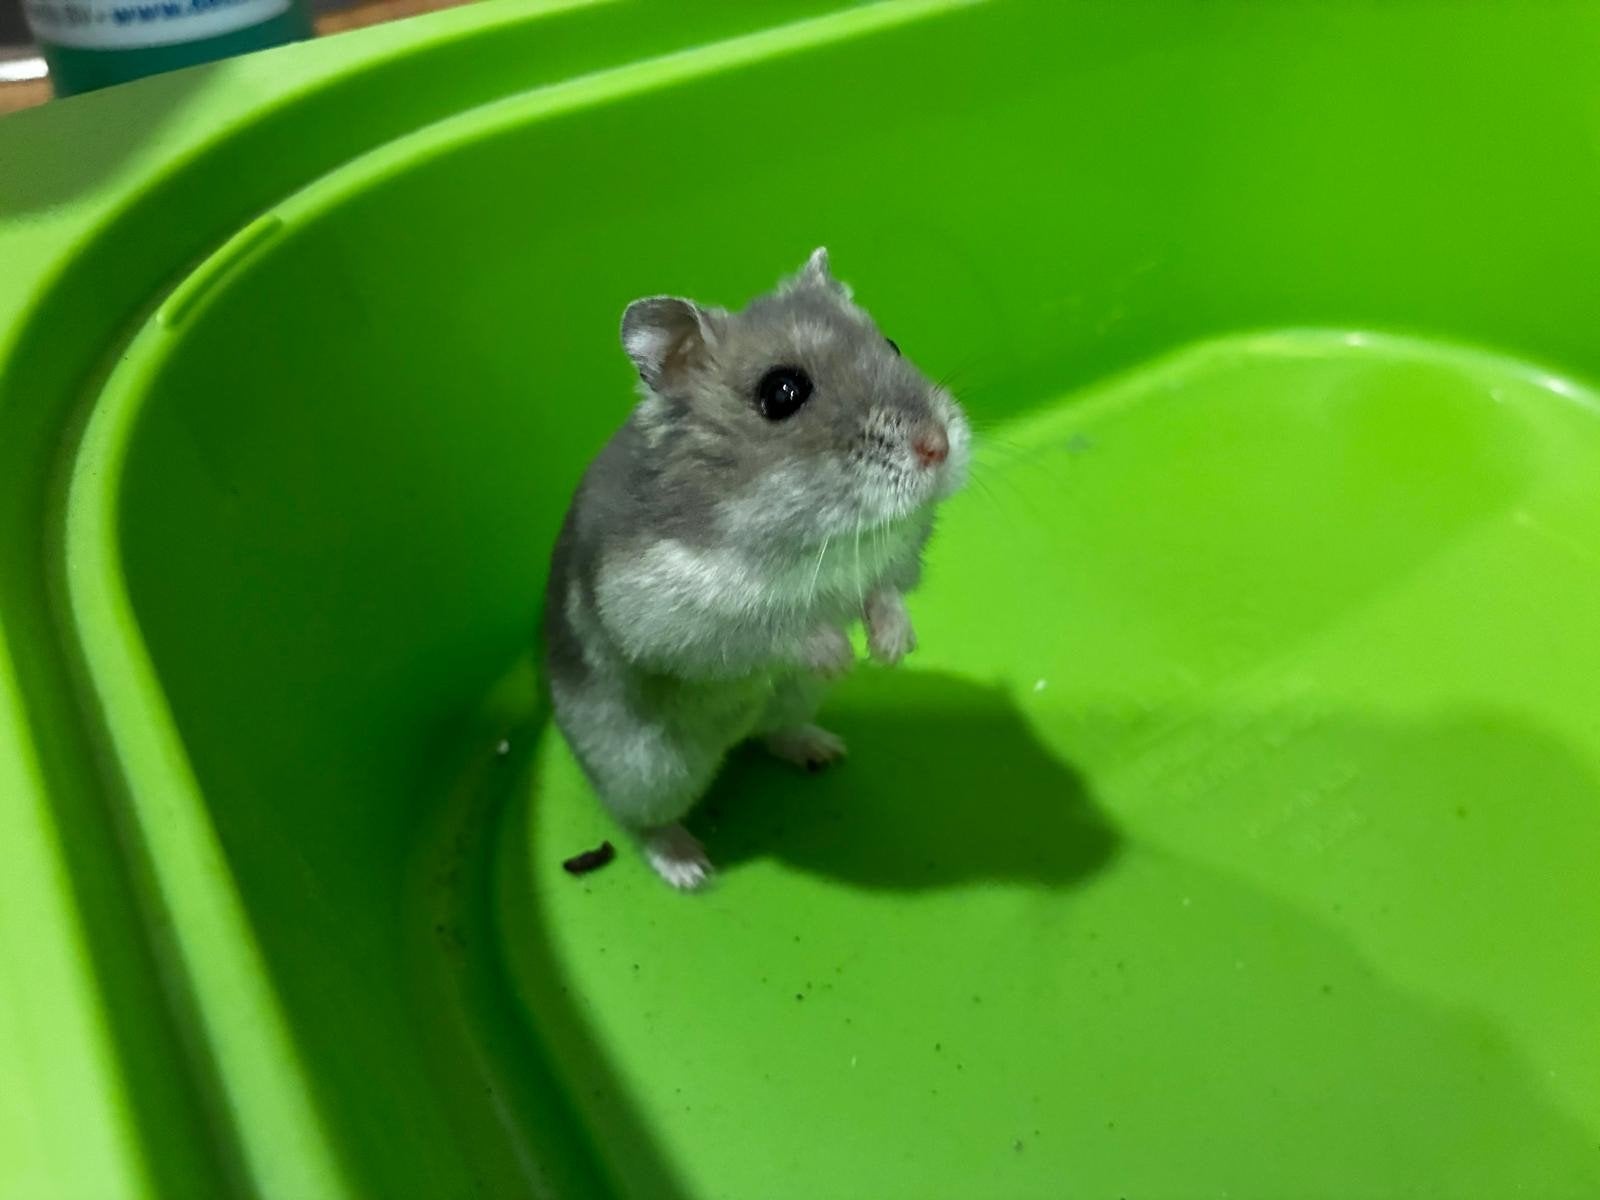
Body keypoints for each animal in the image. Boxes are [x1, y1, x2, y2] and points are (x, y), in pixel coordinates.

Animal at [542, 248, 969, 889]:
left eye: (892, 344)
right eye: (782, 392)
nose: (938, 447)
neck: (815, 528)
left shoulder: (891, 562)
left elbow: (884, 593)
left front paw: (890, 651)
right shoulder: (674, 613)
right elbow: (775, 628)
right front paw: (841, 656)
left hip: (790, 700)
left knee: (771, 733)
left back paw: (824, 750)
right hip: (645, 771)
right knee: (642, 823)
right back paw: (691, 871)